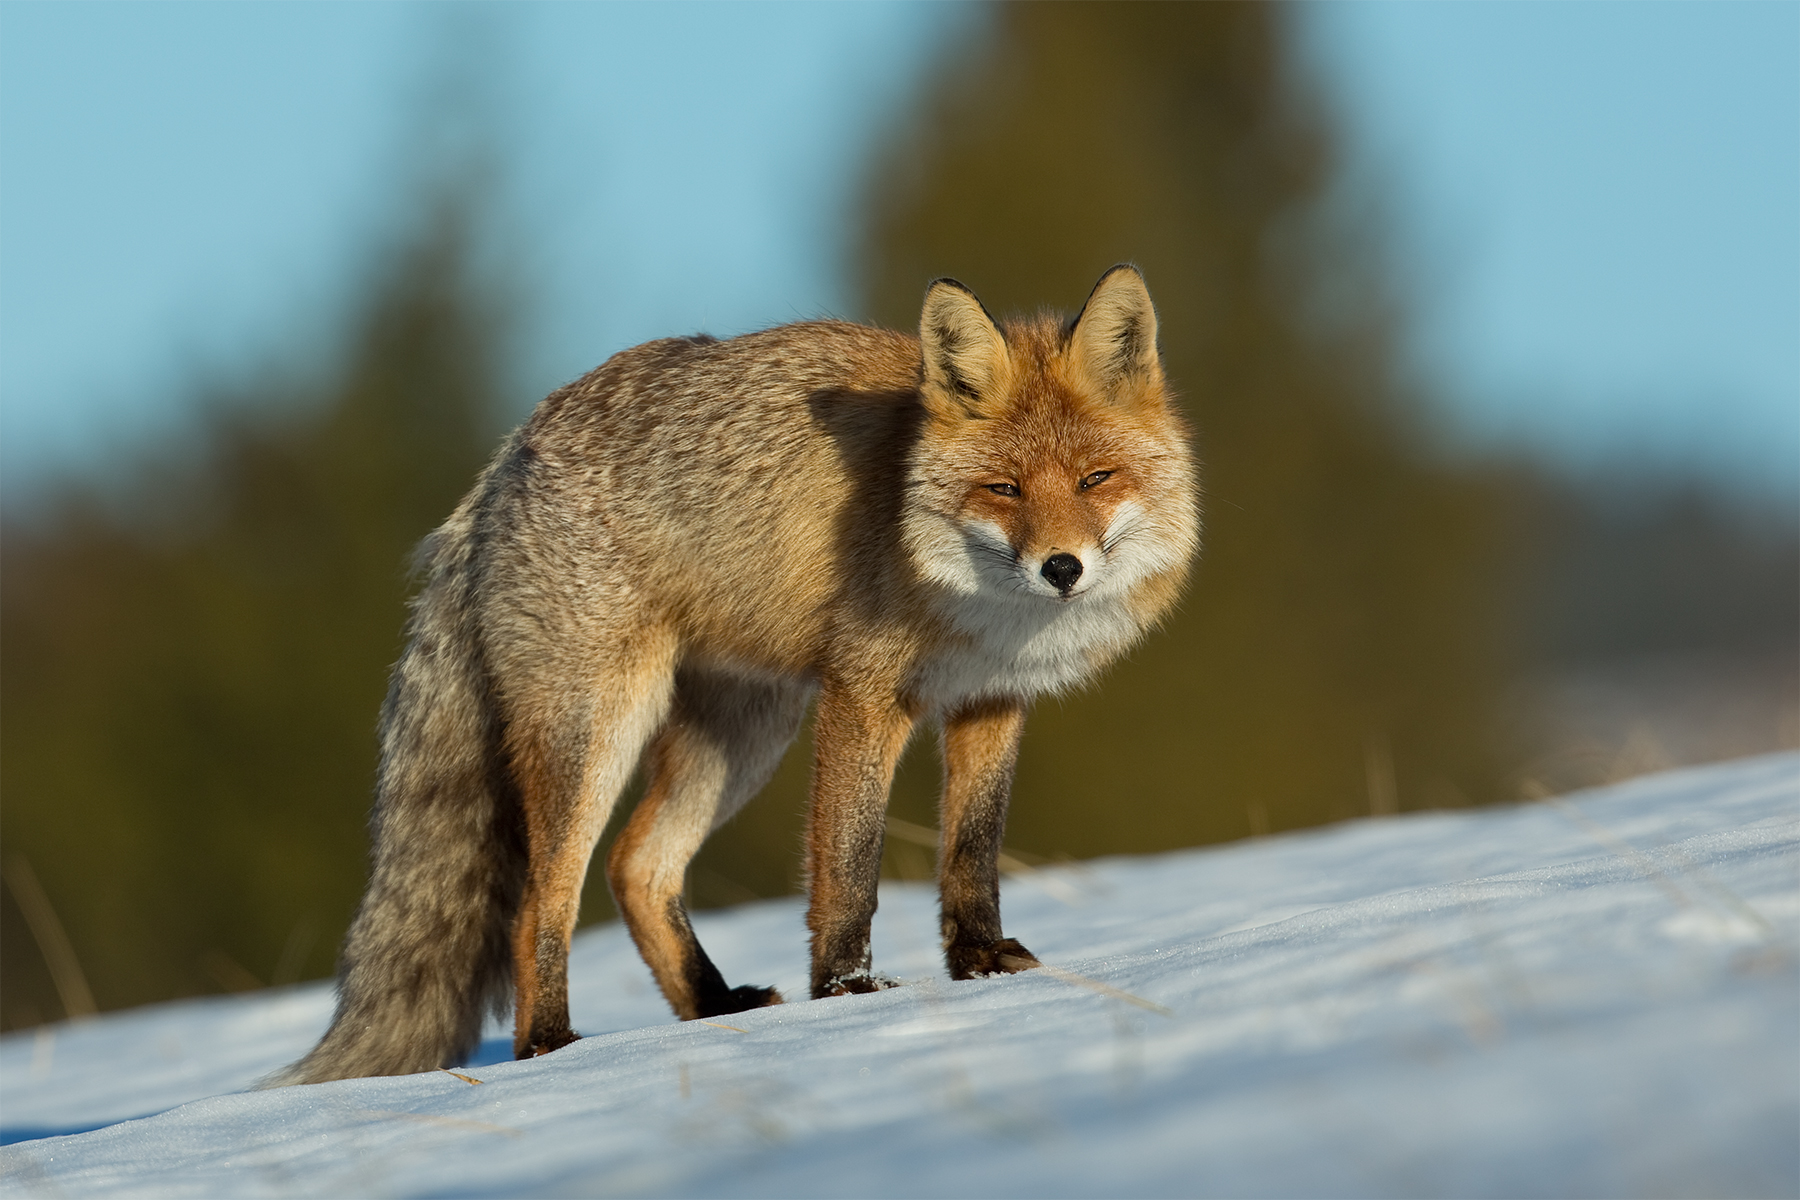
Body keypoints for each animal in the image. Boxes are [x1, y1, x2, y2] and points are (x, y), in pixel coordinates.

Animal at [271, 264, 1198, 1085]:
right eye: (1003, 488)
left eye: (1095, 479)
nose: (1062, 569)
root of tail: (507, 461)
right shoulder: (864, 694)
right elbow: (848, 867)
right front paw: (850, 994)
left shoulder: (989, 701)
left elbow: (972, 851)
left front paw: (981, 964)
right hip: (601, 730)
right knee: (543, 902)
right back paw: (552, 1049)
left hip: (743, 737)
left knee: (637, 867)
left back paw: (712, 1007)